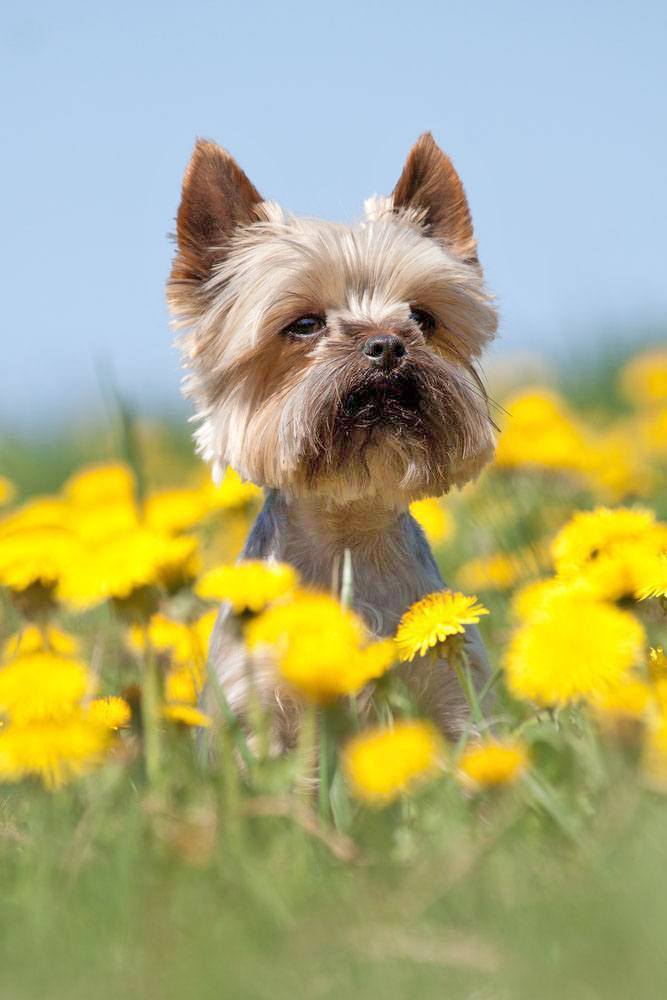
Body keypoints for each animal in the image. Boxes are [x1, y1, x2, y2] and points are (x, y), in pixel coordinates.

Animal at [168, 133, 496, 744]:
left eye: (423, 317)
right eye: (303, 325)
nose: (388, 345)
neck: (347, 533)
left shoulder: (454, 694)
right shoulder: (258, 710)